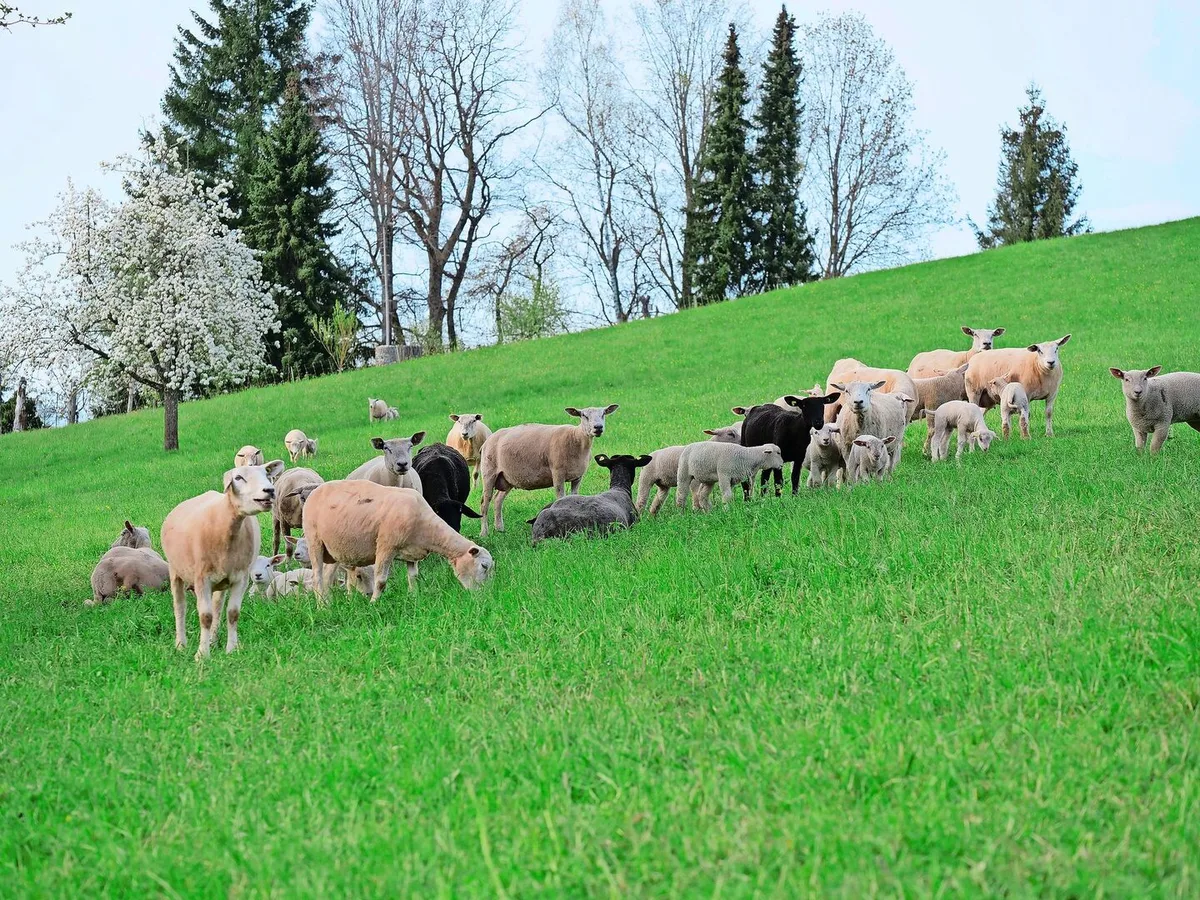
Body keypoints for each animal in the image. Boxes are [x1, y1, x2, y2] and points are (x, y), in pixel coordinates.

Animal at [161, 460, 285, 658]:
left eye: (266, 475)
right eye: (238, 477)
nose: (269, 490)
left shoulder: (240, 578)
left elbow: (232, 613)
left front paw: (231, 649)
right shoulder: (201, 578)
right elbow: (205, 616)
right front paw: (202, 655)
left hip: (221, 581)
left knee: (217, 606)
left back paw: (212, 639)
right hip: (175, 570)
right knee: (179, 607)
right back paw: (180, 644)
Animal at [302, 480, 494, 600]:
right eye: (484, 566)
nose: (484, 595)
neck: (427, 528)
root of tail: (314, 491)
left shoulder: (412, 554)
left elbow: (413, 577)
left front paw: (414, 597)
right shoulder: (386, 546)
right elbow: (381, 581)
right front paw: (374, 604)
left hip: (333, 550)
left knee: (327, 578)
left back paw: (330, 603)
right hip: (314, 541)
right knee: (317, 577)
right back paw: (322, 607)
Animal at [479, 404, 618, 537]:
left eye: (603, 413)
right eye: (584, 415)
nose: (598, 427)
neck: (576, 438)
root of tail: (488, 440)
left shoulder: (578, 477)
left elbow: (574, 495)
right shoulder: (558, 473)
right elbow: (560, 497)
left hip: (507, 478)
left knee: (498, 500)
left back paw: (500, 529)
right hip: (489, 473)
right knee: (485, 503)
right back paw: (484, 533)